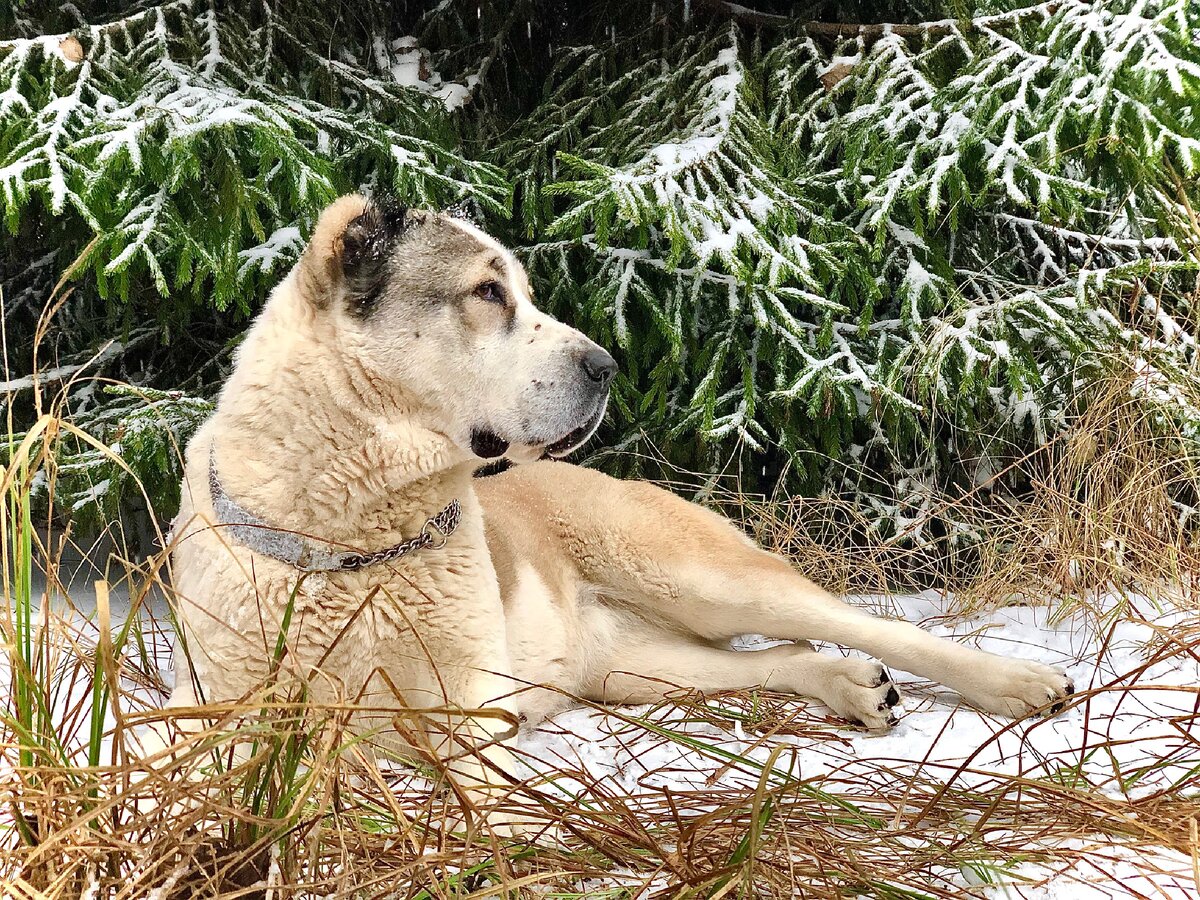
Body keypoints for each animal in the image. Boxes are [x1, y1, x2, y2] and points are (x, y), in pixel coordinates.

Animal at [164, 196, 1075, 830]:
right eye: (486, 292)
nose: (606, 365)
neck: (356, 536)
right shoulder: (221, 712)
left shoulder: (469, 711)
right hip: (627, 665)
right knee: (781, 654)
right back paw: (848, 687)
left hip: (694, 573)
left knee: (862, 624)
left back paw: (1018, 682)